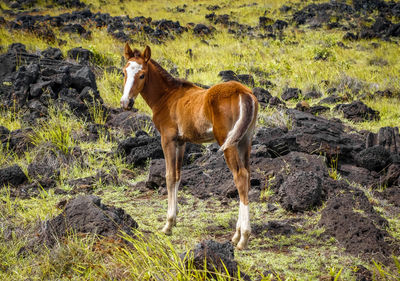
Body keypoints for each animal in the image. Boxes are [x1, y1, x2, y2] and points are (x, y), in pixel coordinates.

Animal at [120, 42, 258, 248]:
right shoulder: (181, 141)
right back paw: (236, 235)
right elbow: (177, 175)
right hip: (244, 141)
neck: (167, 96)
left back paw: (243, 238)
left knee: (240, 177)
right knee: (247, 176)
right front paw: (175, 219)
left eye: (142, 74)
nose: (126, 103)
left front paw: (168, 224)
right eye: (124, 72)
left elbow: (169, 176)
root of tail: (244, 92)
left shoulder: (167, 139)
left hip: (228, 143)